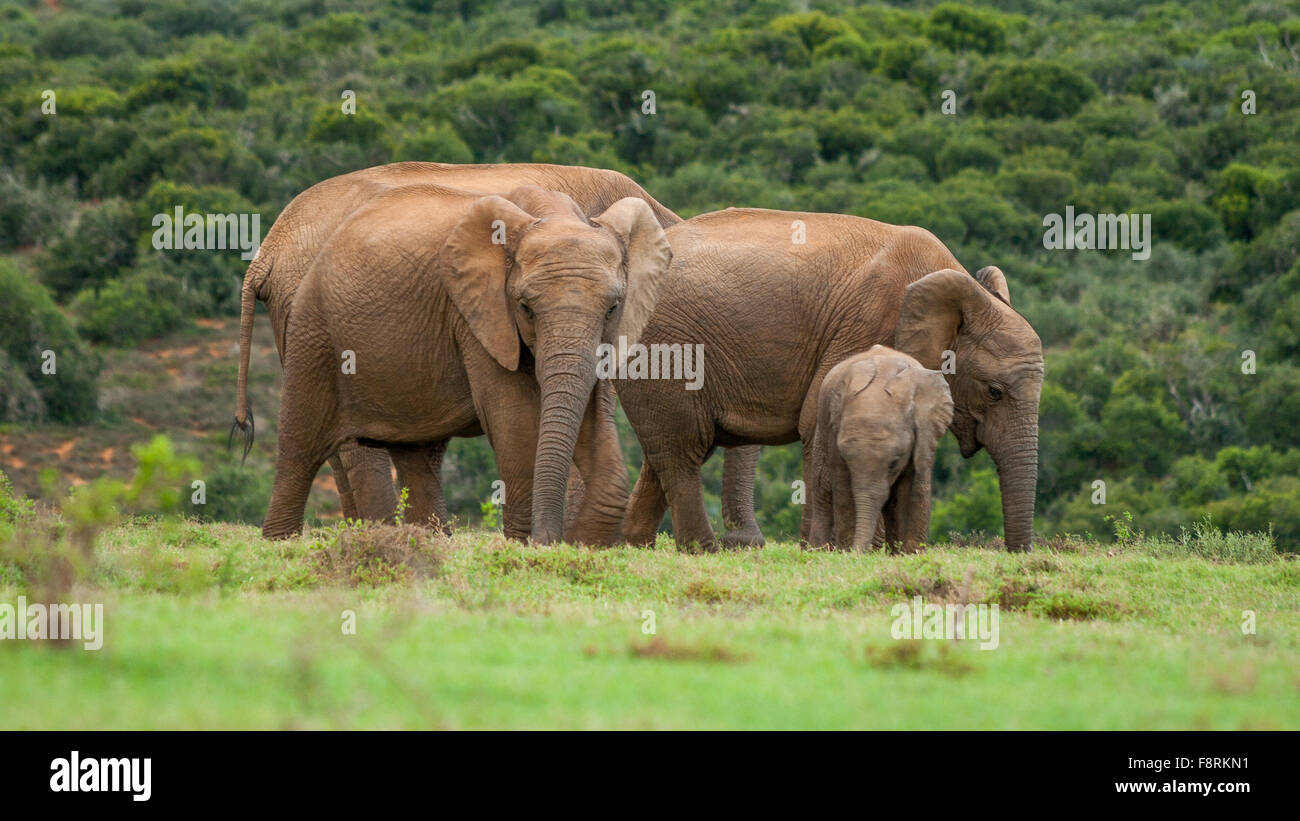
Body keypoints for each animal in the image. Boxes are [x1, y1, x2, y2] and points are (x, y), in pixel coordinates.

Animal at [806, 345, 951, 550]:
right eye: (847, 461)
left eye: (894, 463)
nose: (857, 552)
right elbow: (843, 491)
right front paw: (846, 551)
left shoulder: (924, 434)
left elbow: (913, 490)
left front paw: (908, 553)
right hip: (822, 427)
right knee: (823, 491)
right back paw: (817, 550)